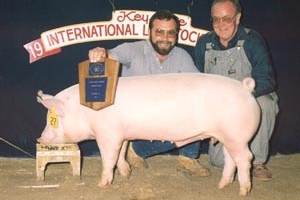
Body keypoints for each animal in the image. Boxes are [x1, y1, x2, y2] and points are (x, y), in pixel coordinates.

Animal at [35, 72, 260, 196]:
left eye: (52, 119)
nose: (39, 138)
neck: (85, 111)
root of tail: (245, 88)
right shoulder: (123, 134)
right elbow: (121, 155)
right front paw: (126, 175)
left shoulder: (108, 134)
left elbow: (109, 158)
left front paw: (102, 184)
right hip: (229, 136)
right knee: (230, 159)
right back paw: (222, 186)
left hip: (236, 135)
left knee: (245, 158)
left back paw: (243, 191)